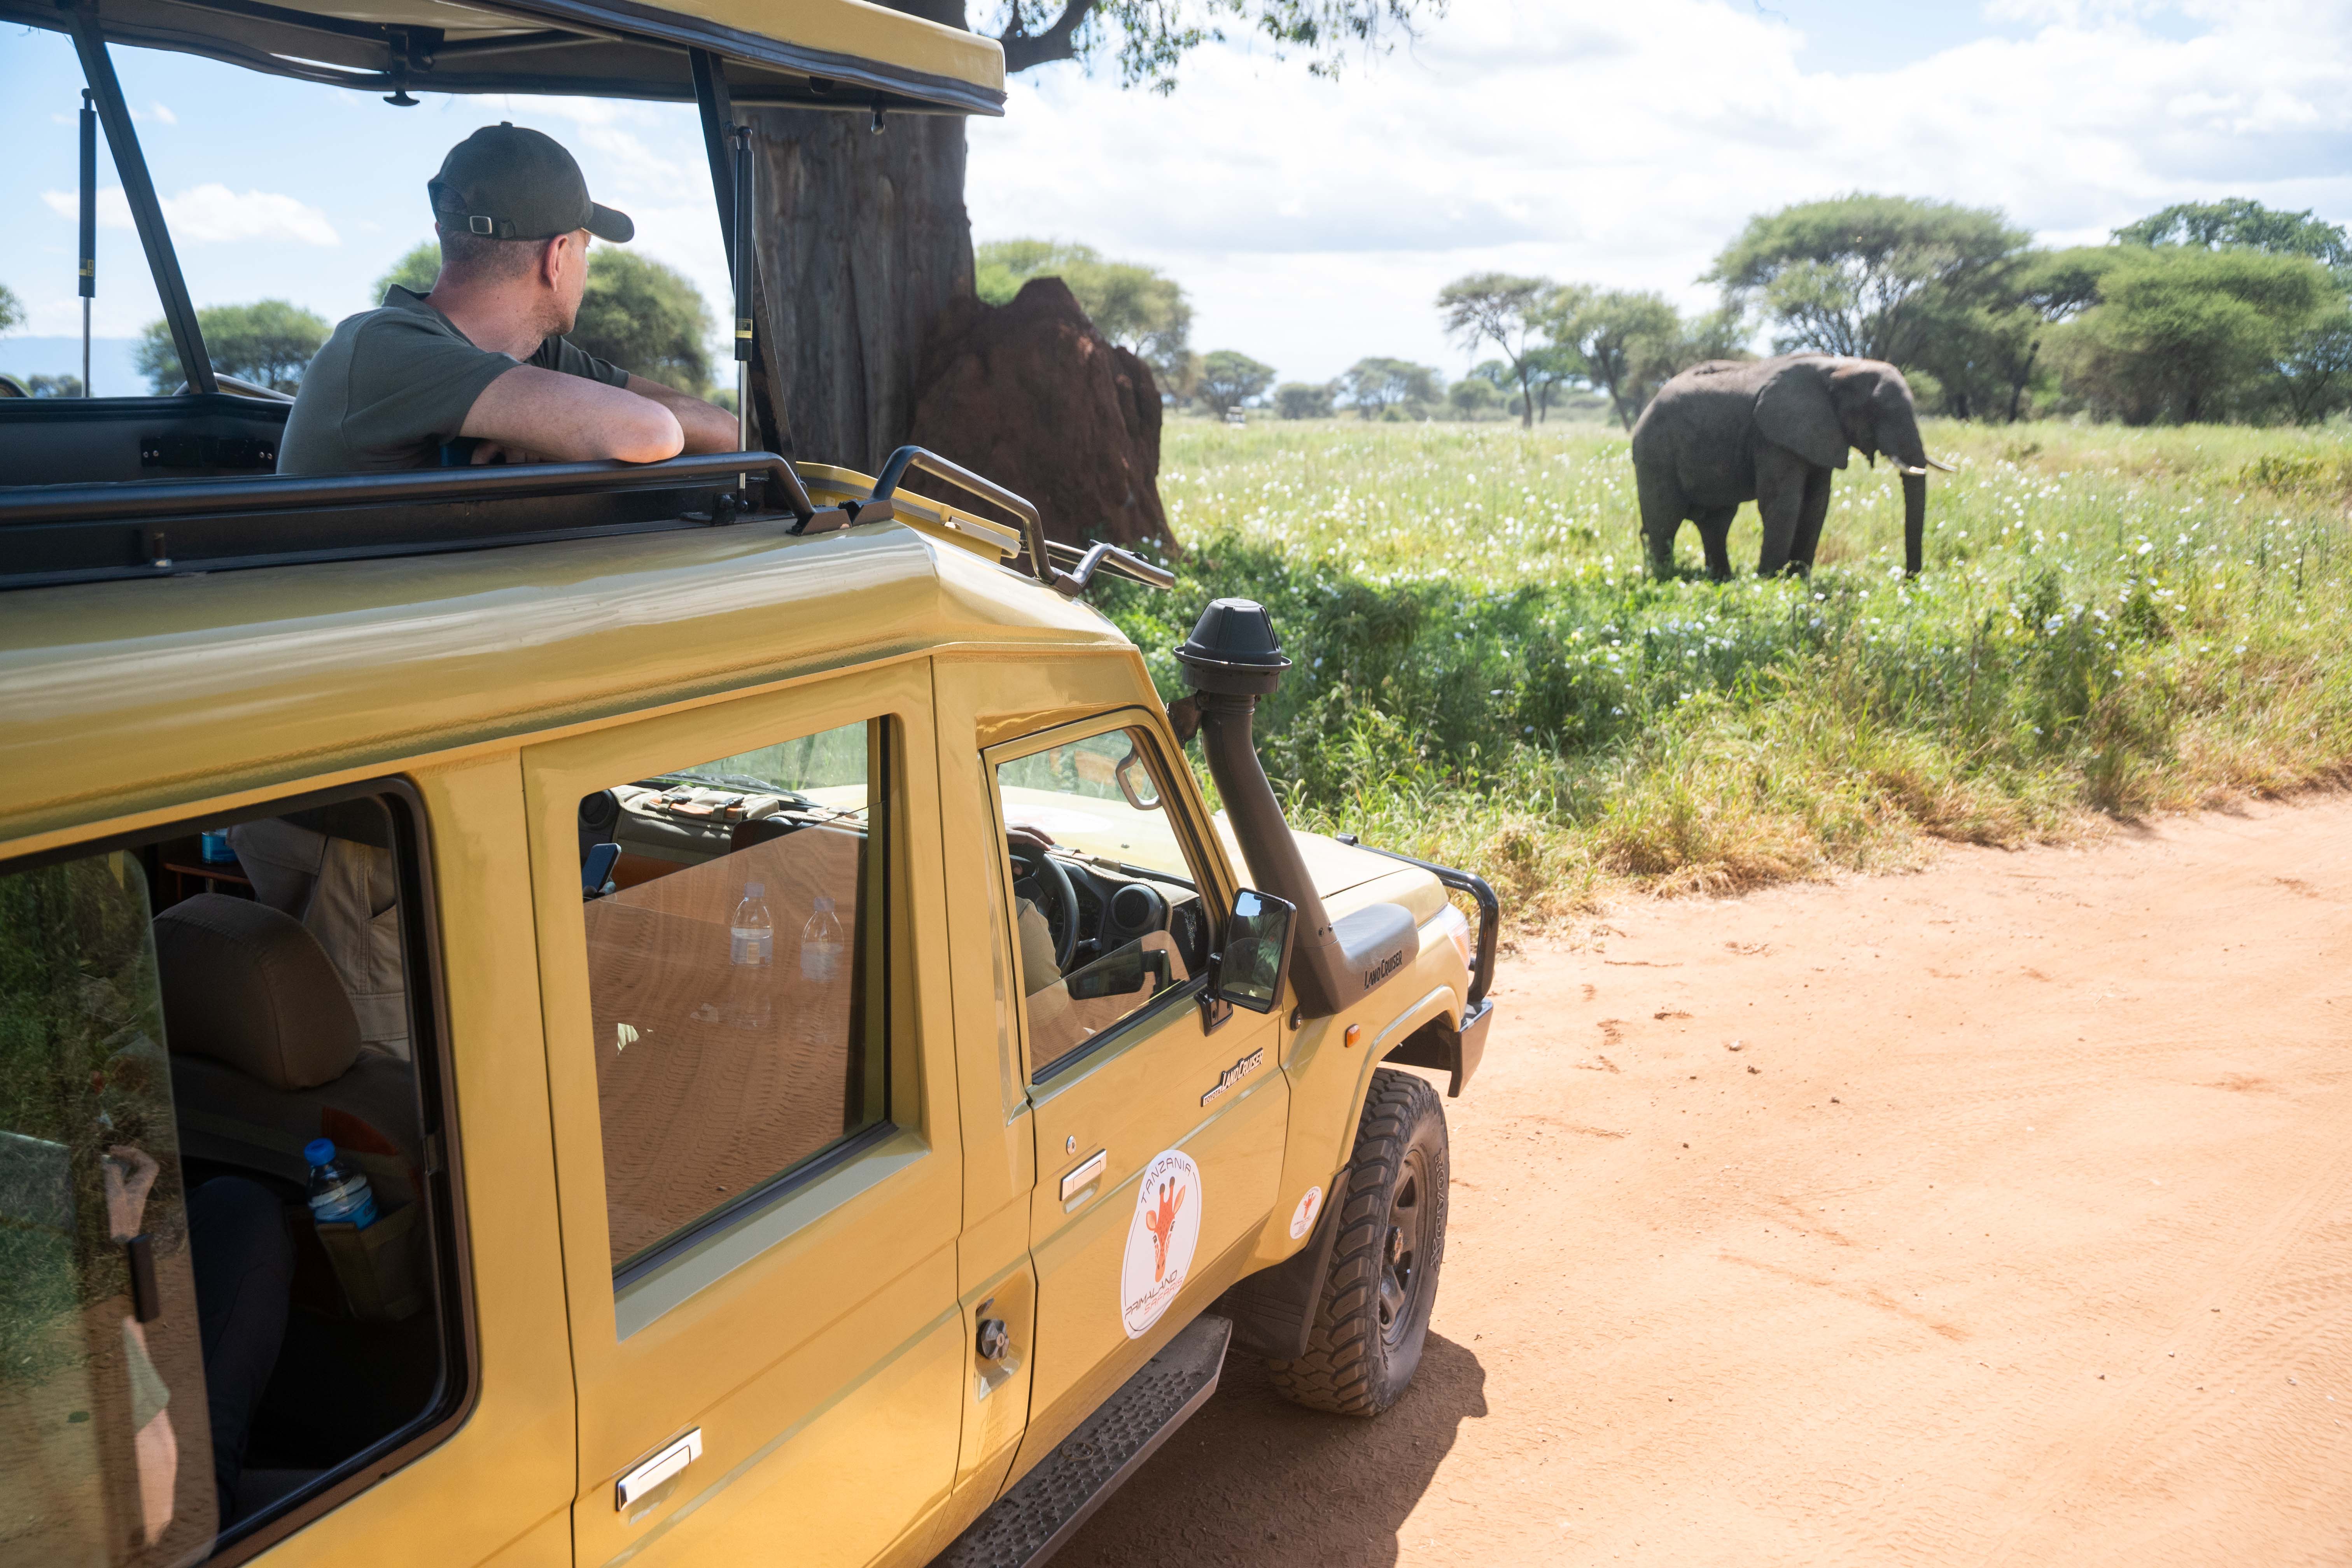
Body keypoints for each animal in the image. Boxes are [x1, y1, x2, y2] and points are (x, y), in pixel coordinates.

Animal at [1628, 354, 1951, 581]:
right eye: (1879, 411)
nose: (1909, 581)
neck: (1841, 368)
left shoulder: (1819, 434)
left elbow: (1816, 505)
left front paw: (1798, 581)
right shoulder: (1774, 437)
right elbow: (1783, 503)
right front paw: (1769, 581)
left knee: (1716, 522)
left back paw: (1721, 580)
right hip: (1654, 454)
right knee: (1665, 521)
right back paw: (1665, 579)